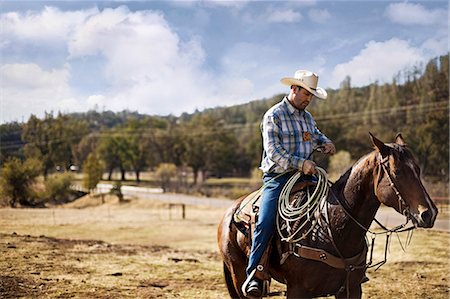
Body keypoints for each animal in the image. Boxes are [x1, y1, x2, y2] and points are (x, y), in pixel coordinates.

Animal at [217, 134, 436, 299]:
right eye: (397, 172)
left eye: (417, 169)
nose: (429, 213)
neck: (331, 229)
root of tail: (231, 211)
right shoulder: (297, 291)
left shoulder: (351, 290)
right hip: (238, 274)